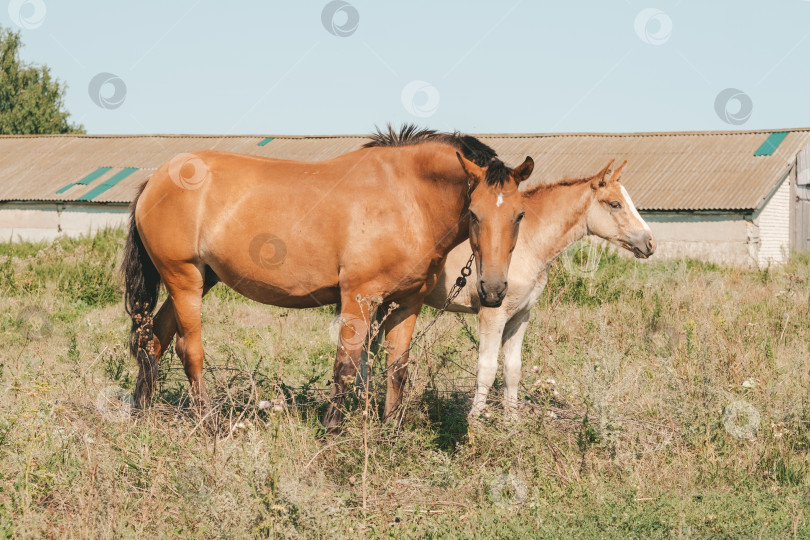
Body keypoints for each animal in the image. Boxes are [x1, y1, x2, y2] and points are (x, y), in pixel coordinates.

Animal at [121, 125, 532, 430]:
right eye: (475, 213)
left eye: (520, 215)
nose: (493, 290)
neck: (406, 197)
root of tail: (156, 180)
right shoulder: (358, 296)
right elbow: (346, 365)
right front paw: (333, 429)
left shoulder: (407, 303)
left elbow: (396, 369)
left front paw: (390, 431)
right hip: (184, 279)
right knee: (188, 349)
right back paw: (209, 424)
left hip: (201, 279)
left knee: (153, 340)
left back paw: (141, 415)